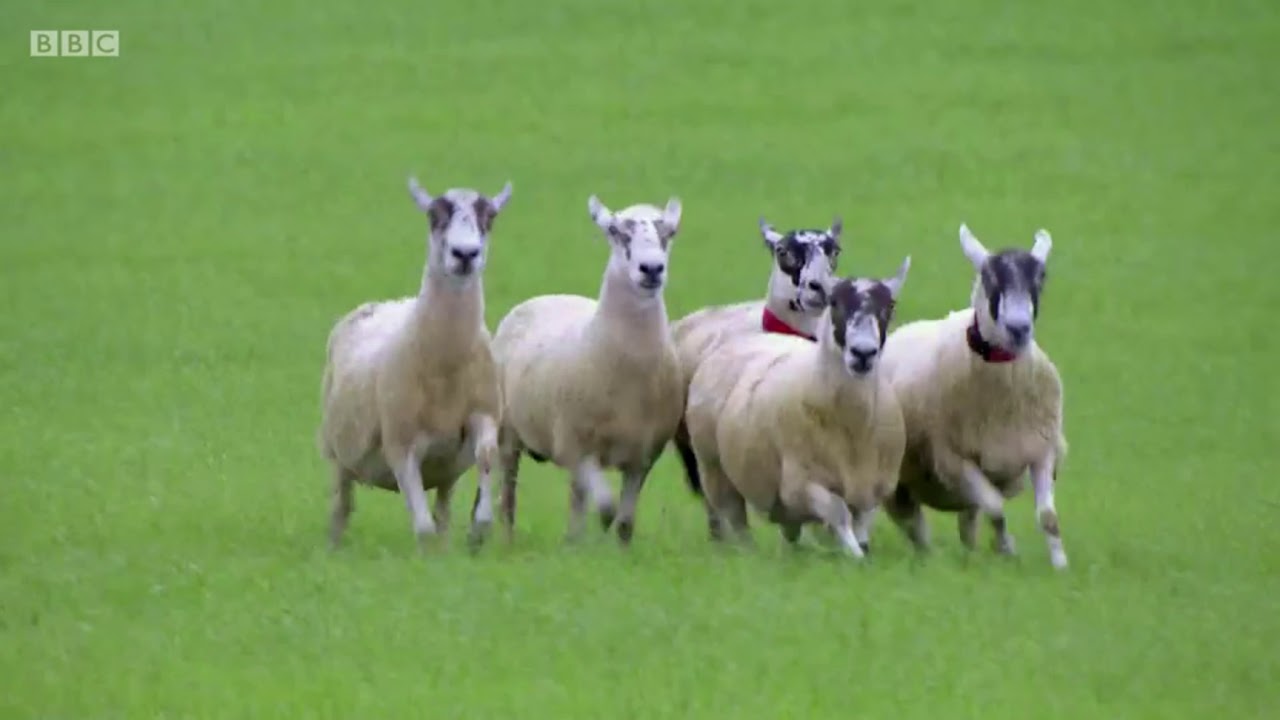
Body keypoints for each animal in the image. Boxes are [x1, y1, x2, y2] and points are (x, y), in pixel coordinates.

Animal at [318, 175, 513, 551]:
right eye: (434, 217)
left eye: (490, 218)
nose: (465, 254)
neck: (446, 365)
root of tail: (385, 303)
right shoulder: (401, 446)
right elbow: (422, 526)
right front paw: (428, 556)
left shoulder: (483, 414)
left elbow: (486, 455)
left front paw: (478, 532)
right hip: (337, 455)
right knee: (341, 506)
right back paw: (332, 548)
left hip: (446, 472)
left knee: (443, 511)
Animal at [490, 193, 686, 545]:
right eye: (614, 230)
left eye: (671, 232)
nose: (652, 269)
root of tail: (548, 296)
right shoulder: (575, 447)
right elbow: (607, 508)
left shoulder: (643, 458)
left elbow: (624, 522)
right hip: (508, 434)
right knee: (508, 499)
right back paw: (510, 542)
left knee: (576, 498)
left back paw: (572, 540)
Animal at [683, 259, 911, 558]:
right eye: (834, 302)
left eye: (890, 306)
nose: (863, 353)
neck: (854, 426)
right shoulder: (800, 484)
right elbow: (837, 511)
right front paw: (855, 555)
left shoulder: (874, 485)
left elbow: (861, 522)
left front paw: (860, 549)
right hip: (713, 467)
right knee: (735, 519)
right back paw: (748, 554)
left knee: (788, 528)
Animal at [878, 223, 1069, 569]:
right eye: (989, 277)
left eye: (1041, 277)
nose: (1019, 328)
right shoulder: (954, 461)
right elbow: (996, 508)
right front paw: (1007, 548)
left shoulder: (1042, 450)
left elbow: (1048, 516)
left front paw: (1060, 566)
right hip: (898, 482)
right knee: (915, 526)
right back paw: (931, 560)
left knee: (966, 523)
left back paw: (968, 555)